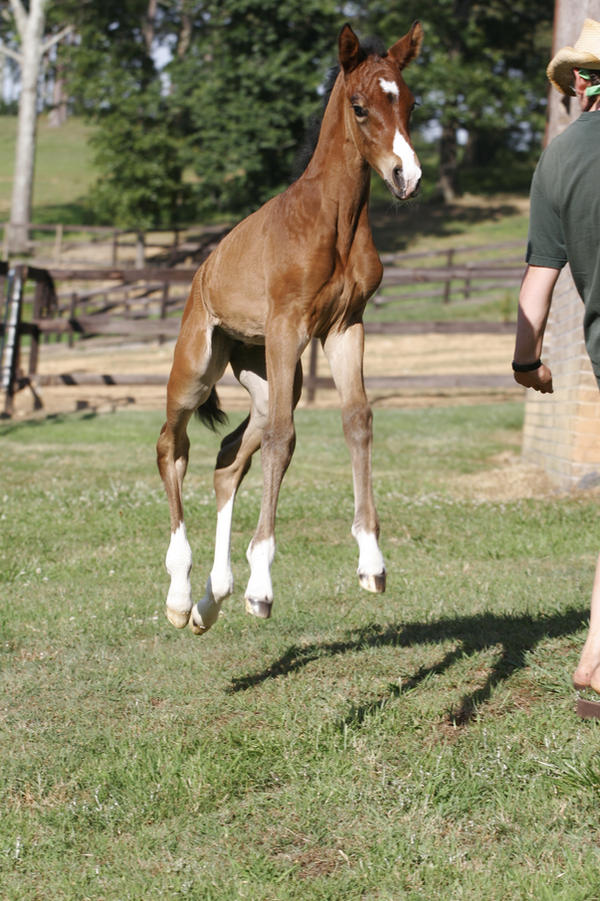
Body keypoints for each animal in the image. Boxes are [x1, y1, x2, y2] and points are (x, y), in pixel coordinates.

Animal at [157, 21, 424, 632]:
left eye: (411, 103)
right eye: (360, 107)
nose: (408, 176)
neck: (334, 221)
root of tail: (203, 268)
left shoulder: (346, 327)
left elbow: (357, 420)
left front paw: (371, 560)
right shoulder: (288, 327)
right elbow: (285, 438)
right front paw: (262, 585)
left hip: (267, 373)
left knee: (228, 460)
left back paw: (211, 598)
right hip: (199, 366)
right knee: (172, 445)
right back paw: (181, 594)